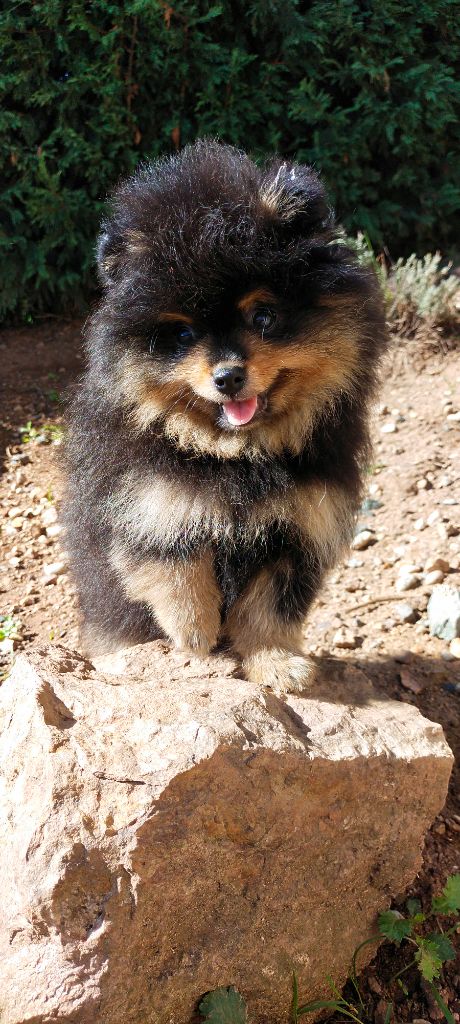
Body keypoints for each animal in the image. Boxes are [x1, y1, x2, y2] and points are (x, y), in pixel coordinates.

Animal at [65, 139, 387, 694]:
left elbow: (269, 608)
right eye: (181, 334)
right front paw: (196, 639)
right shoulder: (150, 504)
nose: (228, 376)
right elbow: (177, 573)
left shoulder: (296, 529)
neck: (236, 457)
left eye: (264, 316)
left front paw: (277, 663)